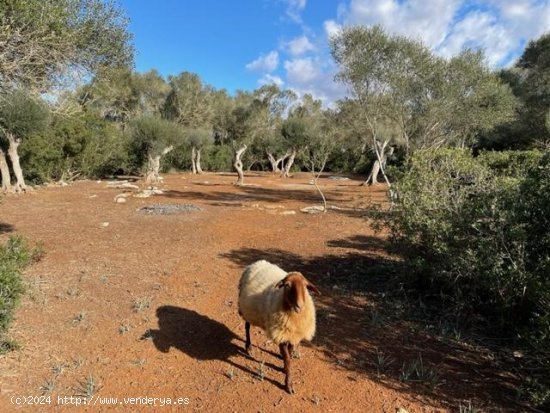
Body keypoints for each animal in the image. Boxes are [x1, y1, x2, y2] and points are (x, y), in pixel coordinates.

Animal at [239, 260, 322, 392]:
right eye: (287, 285)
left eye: (305, 286)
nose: (299, 306)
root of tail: (258, 262)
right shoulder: (280, 334)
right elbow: (288, 360)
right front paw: (288, 383)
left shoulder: (292, 335)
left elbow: (290, 354)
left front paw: (284, 367)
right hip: (247, 311)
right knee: (247, 327)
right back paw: (248, 347)